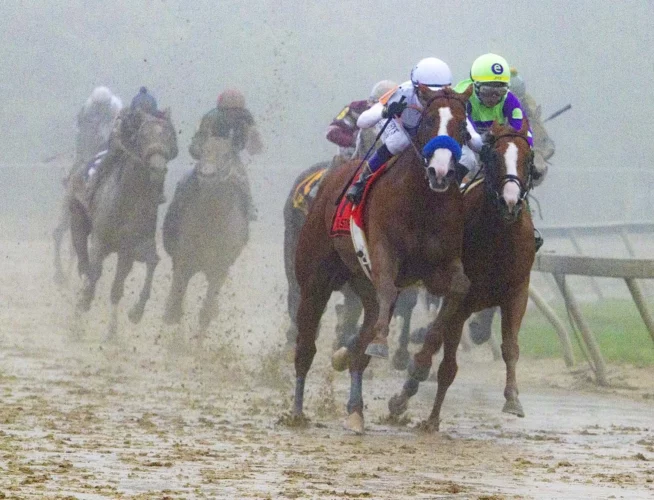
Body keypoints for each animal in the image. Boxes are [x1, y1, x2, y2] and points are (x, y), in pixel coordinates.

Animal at [68, 110, 179, 340]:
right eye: (144, 135)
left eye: (169, 136)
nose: (158, 169)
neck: (130, 199)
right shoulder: (100, 242)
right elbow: (93, 273)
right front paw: (84, 302)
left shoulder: (132, 248)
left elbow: (149, 264)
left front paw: (135, 313)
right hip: (77, 219)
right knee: (84, 265)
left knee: (112, 284)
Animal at [163, 136, 250, 336]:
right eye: (202, 151)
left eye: (226, 155)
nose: (207, 173)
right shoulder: (183, 262)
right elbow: (175, 307)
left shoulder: (219, 270)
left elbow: (206, 312)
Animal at [294, 84, 474, 432]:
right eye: (429, 120)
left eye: (462, 126)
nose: (441, 172)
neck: (422, 200)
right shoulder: (382, 253)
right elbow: (388, 289)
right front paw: (379, 344)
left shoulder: (438, 268)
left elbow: (460, 287)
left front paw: (423, 352)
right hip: (315, 279)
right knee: (306, 344)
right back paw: (295, 411)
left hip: (362, 286)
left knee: (362, 340)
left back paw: (355, 407)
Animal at [390, 120, 540, 430]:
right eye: (493, 157)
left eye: (527, 159)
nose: (510, 202)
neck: (499, 237)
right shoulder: (462, 300)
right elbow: (447, 365)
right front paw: (429, 417)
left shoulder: (517, 292)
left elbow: (510, 347)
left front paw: (512, 399)